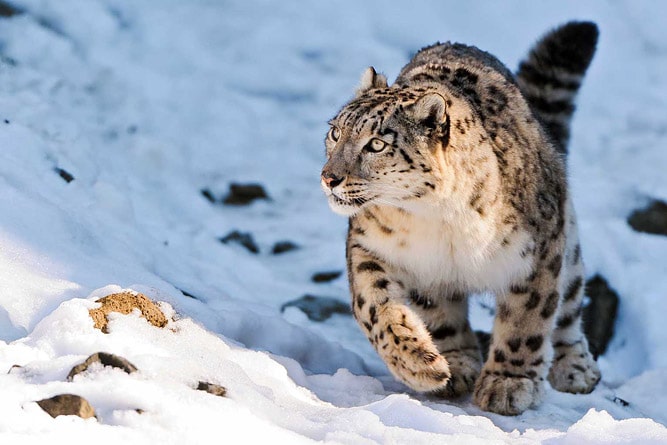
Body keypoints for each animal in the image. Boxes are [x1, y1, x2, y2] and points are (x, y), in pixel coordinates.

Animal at [320, 21, 601, 415]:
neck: (437, 221)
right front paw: (424, 364)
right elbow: (376, 307)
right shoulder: (374, 248)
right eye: (335, 132)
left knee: (570, 305)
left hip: (567, 242)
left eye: (376, 144)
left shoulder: (537, 255)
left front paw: (507, 384)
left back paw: (575, 368)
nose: (329, 177)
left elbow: (526, 320)